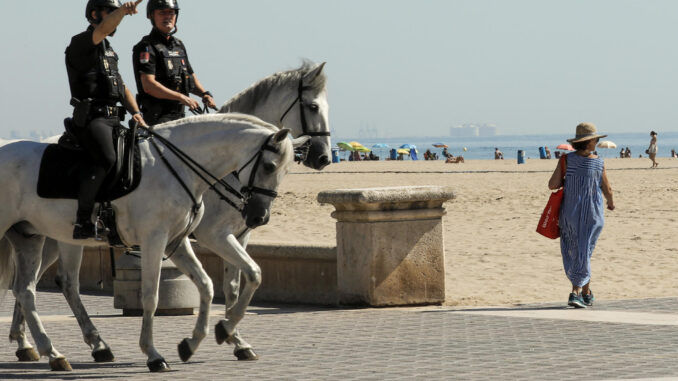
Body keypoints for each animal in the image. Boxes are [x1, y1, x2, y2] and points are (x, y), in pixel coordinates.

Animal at [2, 62, 332, 366]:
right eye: (313, 106)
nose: (324, 157)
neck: (194, 166)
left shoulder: (218, 237)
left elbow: (235, 282)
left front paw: (227, 336)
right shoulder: (206, 236)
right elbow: (157, 293)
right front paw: (171, 348)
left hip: (46, 236)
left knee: (37, 286)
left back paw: (50, 345)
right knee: (47, 285)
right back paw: (49, 344)